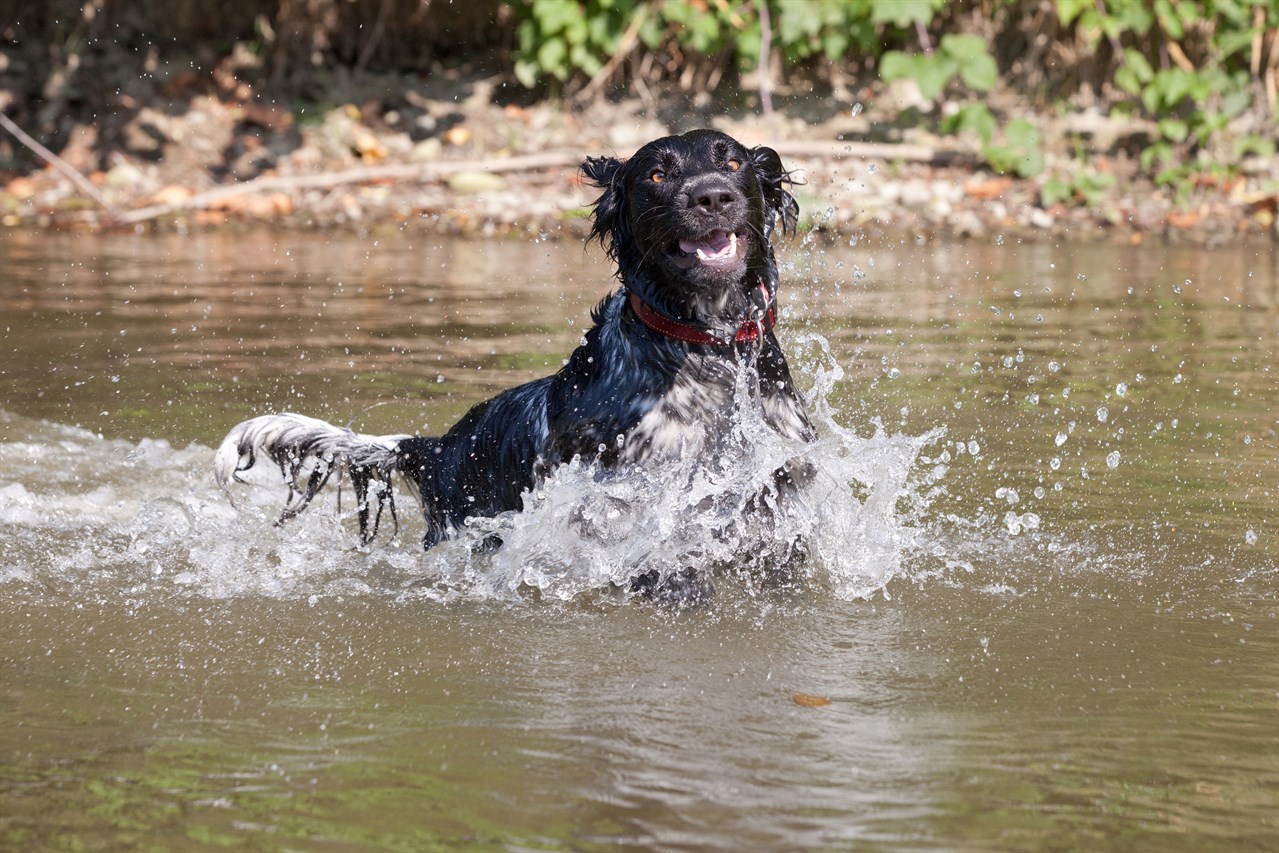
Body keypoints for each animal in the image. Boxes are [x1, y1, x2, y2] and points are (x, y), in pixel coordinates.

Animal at [214, 130, 813, 598]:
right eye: (657, 175)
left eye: (732, 163)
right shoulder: (625, 503)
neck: (710, 350)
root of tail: (439, 448)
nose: (711, 196)